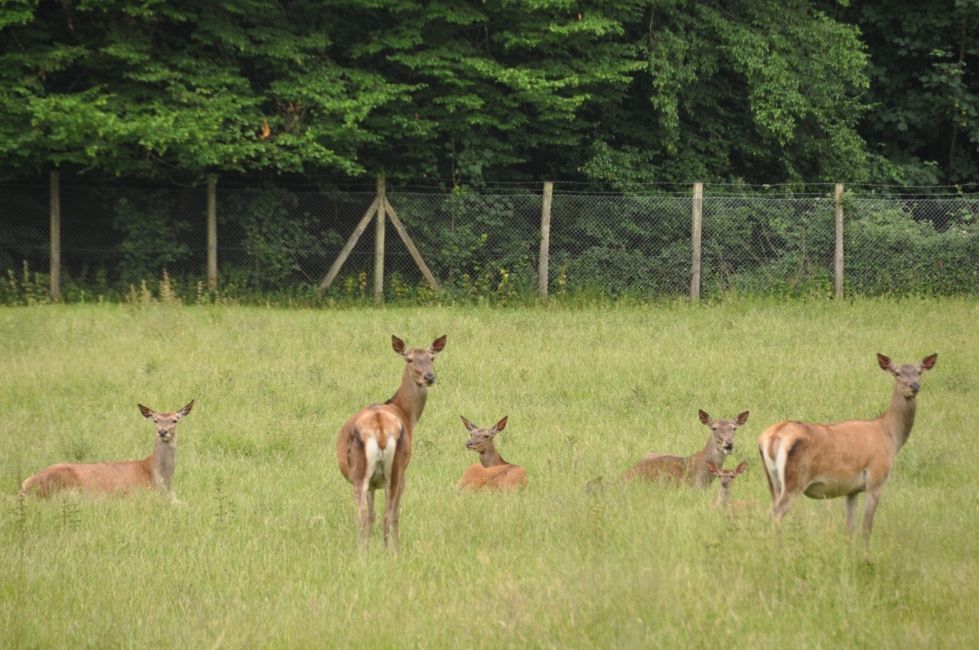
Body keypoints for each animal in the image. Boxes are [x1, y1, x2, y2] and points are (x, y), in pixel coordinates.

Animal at [20, 400, 195, 502]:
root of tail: (25, 484)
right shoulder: (135, 495)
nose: (162, 432)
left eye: (175, 420)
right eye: (155, 420)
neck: (161, 479)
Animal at [334, 334, 446, 552]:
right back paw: (389, 553)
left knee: (365, 515)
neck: (406, 414)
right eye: (409, 359)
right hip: (395, 469)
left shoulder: (373, 485)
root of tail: (379, 427)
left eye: (432, 358)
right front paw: (395, 548)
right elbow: (393, 514)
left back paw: (364, 552)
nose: (429, 377)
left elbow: (372, 515)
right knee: (387, 515)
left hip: (365, 473)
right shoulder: (405, 470)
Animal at [760, 352, 936, 544]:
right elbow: (866, 527)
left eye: (919, 372)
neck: (890, 435)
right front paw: (866, 553)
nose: (914, 386)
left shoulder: (852, 490)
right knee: (774, 514)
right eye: (896, 372)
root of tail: (771, 437)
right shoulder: (876, 478)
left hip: (773, 481)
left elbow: (850, 527)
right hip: (795, 480)